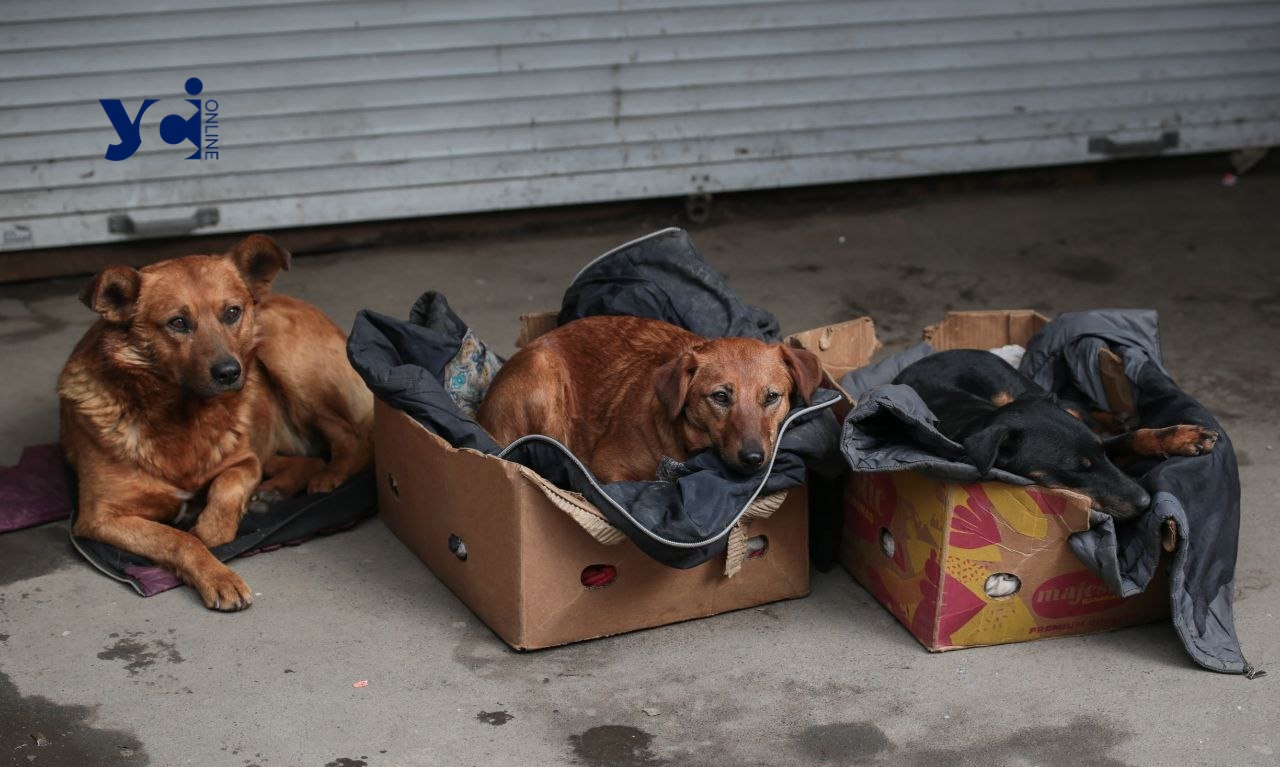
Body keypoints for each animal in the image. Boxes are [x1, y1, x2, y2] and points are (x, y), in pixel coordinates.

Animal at [61, 234, 371, 612]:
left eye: (232, 312)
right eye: (178, 322)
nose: (229, 373)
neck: (182, 416)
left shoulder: (244, 462)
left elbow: (222, 498)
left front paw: (210, 527)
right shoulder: (99, 517)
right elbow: (178, 539)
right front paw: (217, 573)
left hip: (281, 352)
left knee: (350, 438)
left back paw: (329, 477)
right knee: (309, 457)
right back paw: (274, 492)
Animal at [478, 314, 819, 484]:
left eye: (772, 397)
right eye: (721, 397)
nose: (753, 458)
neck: (685, 446)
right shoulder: (609, 468)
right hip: (544, 378)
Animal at [896, 350, 1213, 522]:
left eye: (1101, 456)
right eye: (1076, 469)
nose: (1147, 502)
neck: (981, 420)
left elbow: (1133, 438)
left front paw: (1185, 437)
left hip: (1020, 387)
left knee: (1078, 406)